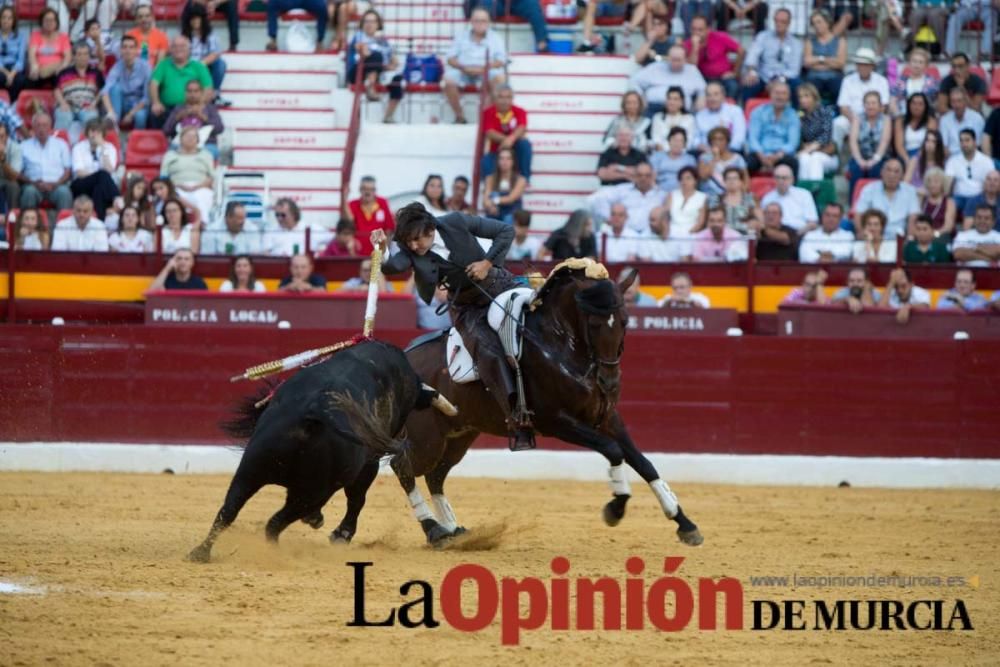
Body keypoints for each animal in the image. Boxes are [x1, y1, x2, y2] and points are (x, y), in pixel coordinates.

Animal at [368, 260, 704, 548]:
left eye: (624, 321)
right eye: (594, 324)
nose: (609, 382)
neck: (558, 344)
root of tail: (400, 359)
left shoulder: (608, 417)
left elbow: (643, 462)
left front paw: (685, 524)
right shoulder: (555, 421)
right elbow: (614, 451)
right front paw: (615, 509)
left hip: (459, 435)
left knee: (435, 475)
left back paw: (454, 530)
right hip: (427, 438)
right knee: (404, 468)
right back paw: (434, 530)